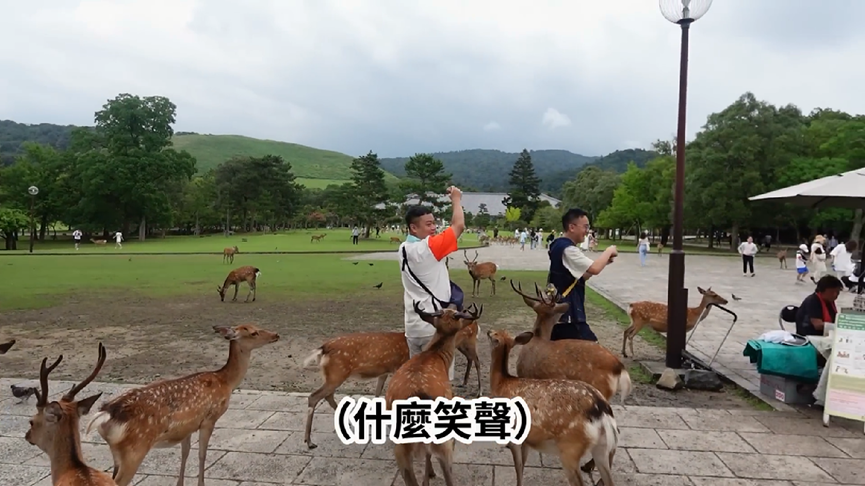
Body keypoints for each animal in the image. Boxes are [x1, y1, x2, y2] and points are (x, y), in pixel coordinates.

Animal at [87, 322, 280, 486]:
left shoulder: (188, 426)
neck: (226, 382)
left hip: (117, 453)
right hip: (133, 451)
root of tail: (105, 414)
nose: (276, 334)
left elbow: (185, 453)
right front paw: (201, 483)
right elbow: (202, 454)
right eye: (254, 332)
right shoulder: (209, 419)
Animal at [384, 302, 480, 484]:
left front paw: (428, 475)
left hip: (400, 448)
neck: (437, 355)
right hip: (443, 440)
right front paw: (430, 474)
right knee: (448, 474)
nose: (453, 304)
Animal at [486, 328, 616, 486]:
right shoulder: (527, 438)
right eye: (499, 331)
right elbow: (523, 463)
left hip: (570, 449)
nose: (488, 330)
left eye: (494, 335)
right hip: (602, 448)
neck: (501, 384)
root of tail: (602, 412)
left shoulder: (514, 435)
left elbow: (518, 467)